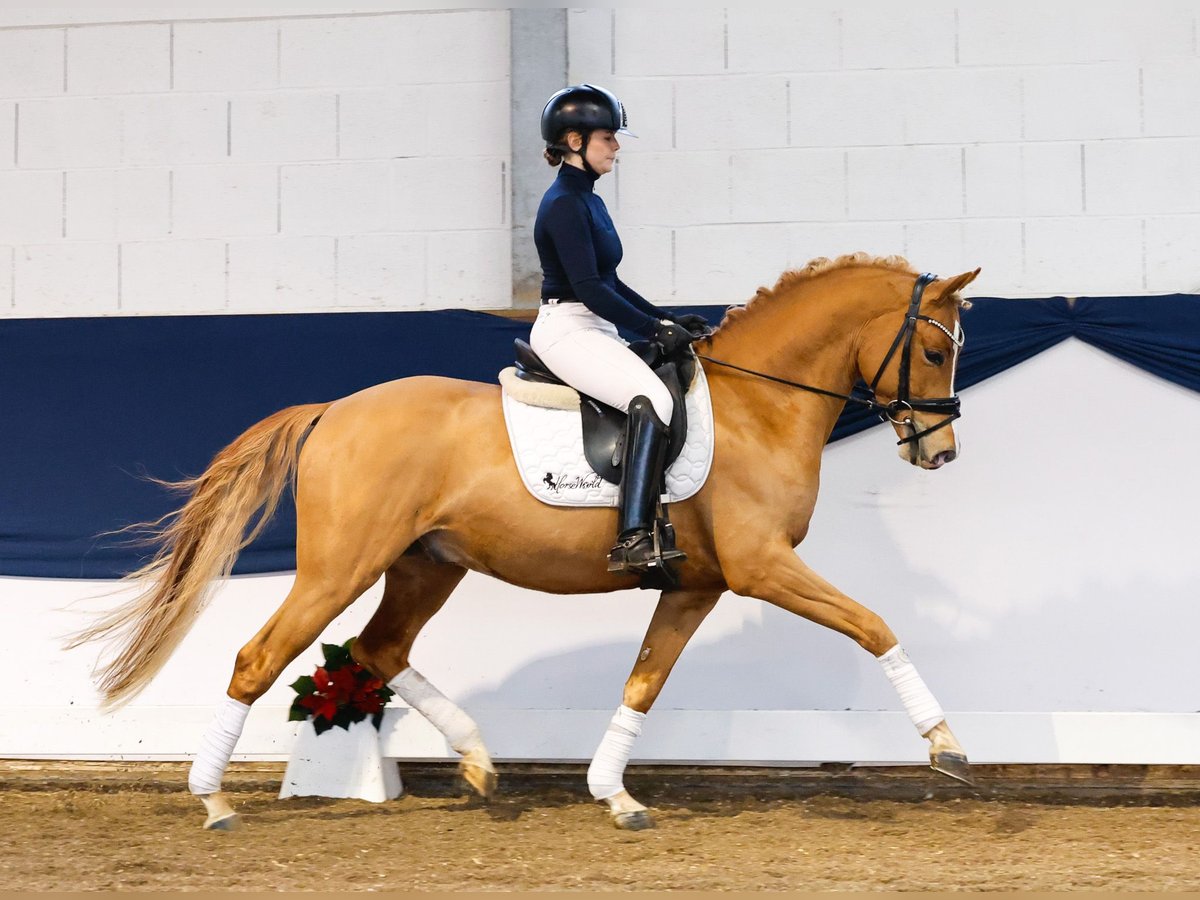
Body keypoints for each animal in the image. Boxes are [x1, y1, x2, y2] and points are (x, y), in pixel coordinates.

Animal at [70, 254, 979, 830]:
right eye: (935, 349)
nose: (939, 453)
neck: (761, 404)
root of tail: (333, 411)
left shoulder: (697, 586)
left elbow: (644, 681)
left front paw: (614, 794)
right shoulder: (763, 568)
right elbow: (874, 625)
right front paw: (946, 745)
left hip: (425, 567)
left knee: (377, 648)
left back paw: (476, 758)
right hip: (340, 566)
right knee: (262, 657)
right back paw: (214, 801)